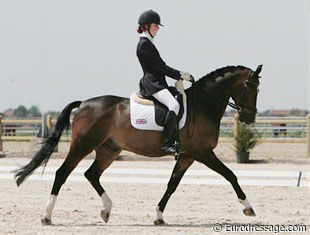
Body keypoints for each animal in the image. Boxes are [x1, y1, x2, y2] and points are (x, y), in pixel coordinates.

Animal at [14, 64, 262, 226]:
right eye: (252, 88)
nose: (249, 117)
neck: (202, 105)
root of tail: (84, 103)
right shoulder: (202, 152)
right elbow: (231, 175)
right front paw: (248, 208)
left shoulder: (187, 156)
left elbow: (172, 185)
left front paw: (159, 216)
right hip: (83, 145)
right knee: (62, 173)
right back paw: (47, 216)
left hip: (109, 150)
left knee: (91, 174)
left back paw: (106, 210)